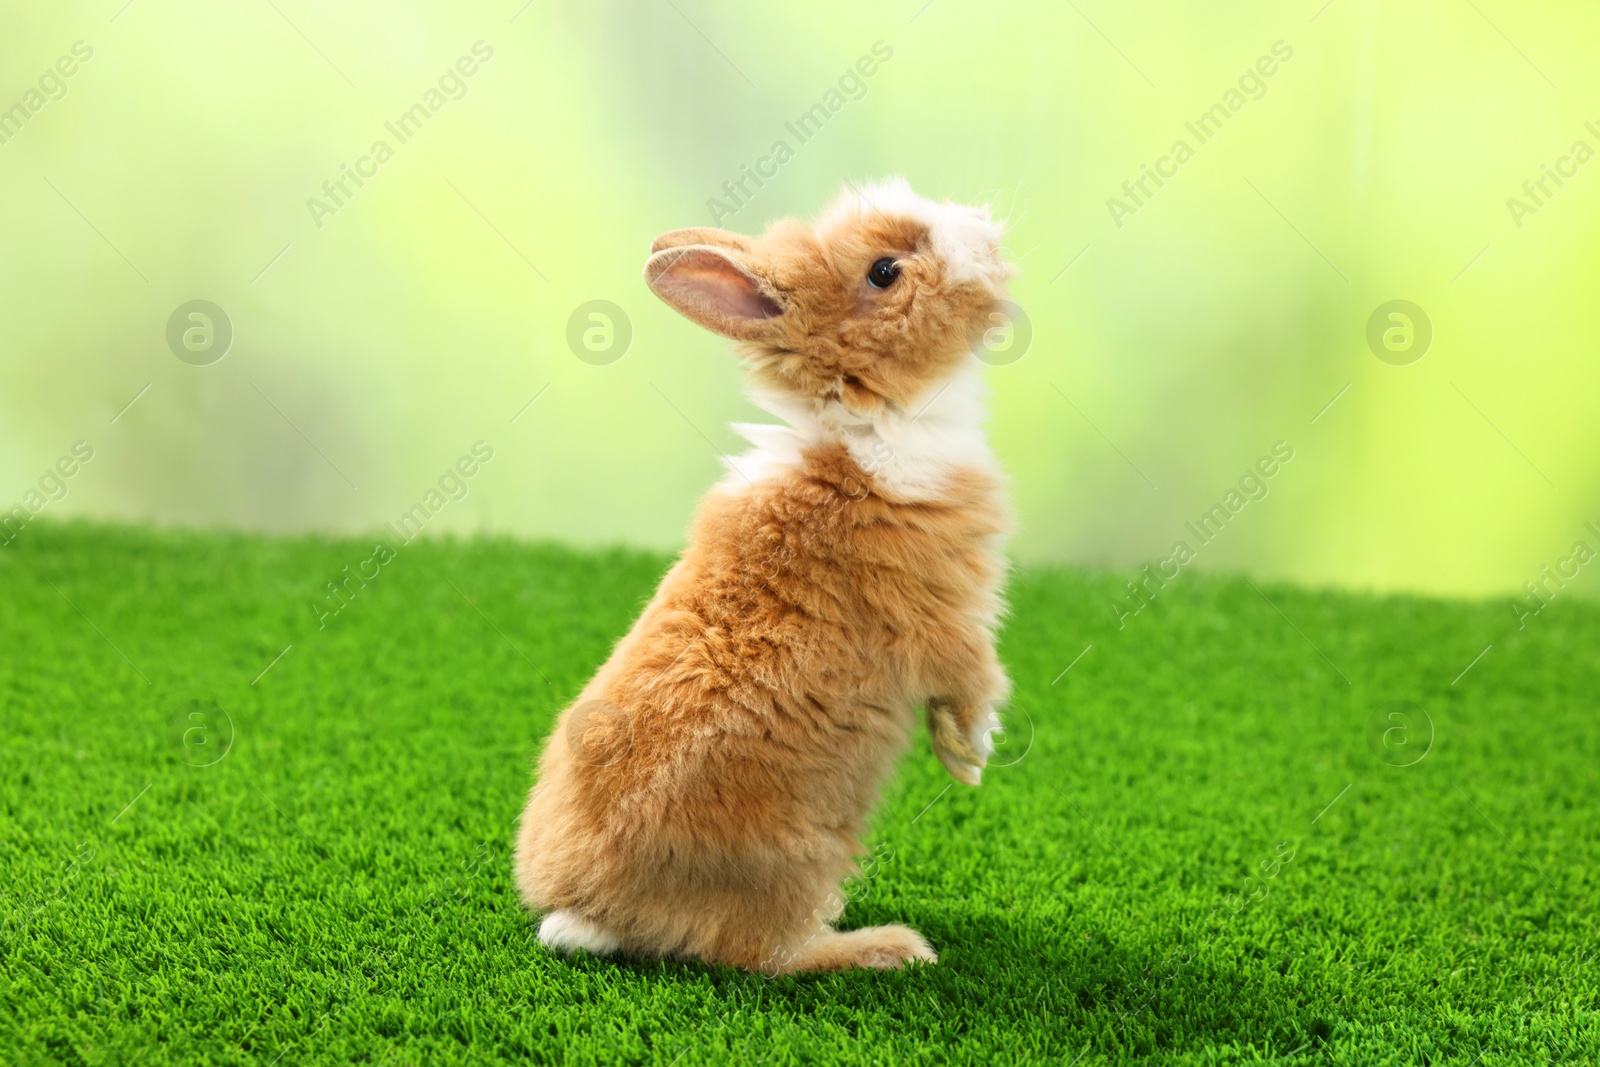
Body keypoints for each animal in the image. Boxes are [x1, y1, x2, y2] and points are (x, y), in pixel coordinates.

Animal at [512, 177, 1011, 979]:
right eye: (885, 271)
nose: (984, 227)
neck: (863, 416)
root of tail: (589, 914)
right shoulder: (943, 612)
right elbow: (972, 683)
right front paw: (974, 760)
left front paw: (963, 765)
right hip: (794, 860)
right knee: (764, 956)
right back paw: (888, 948)